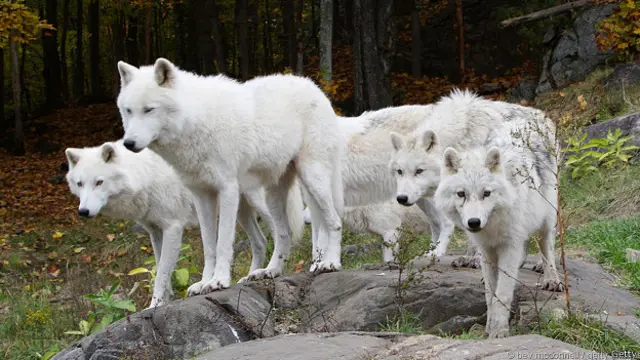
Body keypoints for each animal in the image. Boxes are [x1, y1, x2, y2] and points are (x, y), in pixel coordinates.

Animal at [115, 58, 344, 296]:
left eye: (149, 109)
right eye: (128, 110)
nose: (128, 143)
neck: (196, 120)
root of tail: (313, 86)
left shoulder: (227, 190)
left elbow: (223, 242)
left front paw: (219, 281)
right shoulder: (202, 196)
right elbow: (209, 247)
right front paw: (203, 283)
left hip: (312, 179)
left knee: (334, 221)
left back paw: (329, 263)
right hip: (273, 196)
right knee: (284, 234)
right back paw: (270, 271)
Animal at [432, 137, 564, 338]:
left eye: (486, 193)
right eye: (461, 194)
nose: (474, 222)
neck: (493, 226)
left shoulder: (510, 247)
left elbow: (502, 294)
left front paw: (499, 331)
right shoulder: (486, 250)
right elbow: (490, 295)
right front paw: (489, 327)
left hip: (547, 220)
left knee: (546, 248)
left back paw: (551, 279)